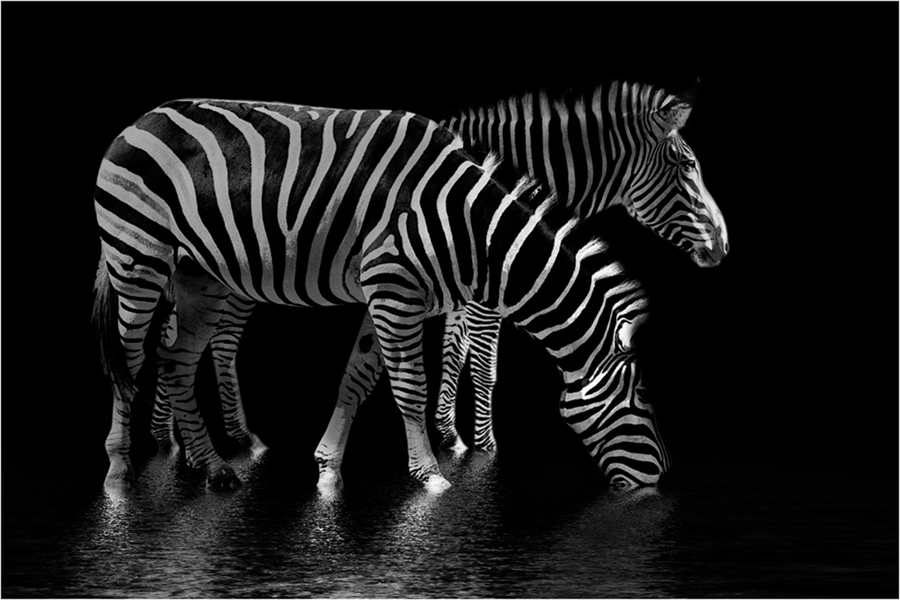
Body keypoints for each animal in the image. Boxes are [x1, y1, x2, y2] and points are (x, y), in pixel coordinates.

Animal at [148, 79, 726, 481]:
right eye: (688, 165)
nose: (723, 247)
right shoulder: (480, 284)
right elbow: (481, 362)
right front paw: (481, 444)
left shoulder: (456, 284)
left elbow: (449, 351)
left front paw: (449, 433)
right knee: (211, 343)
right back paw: (202, 444)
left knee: (184, 342)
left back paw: (182, 443)